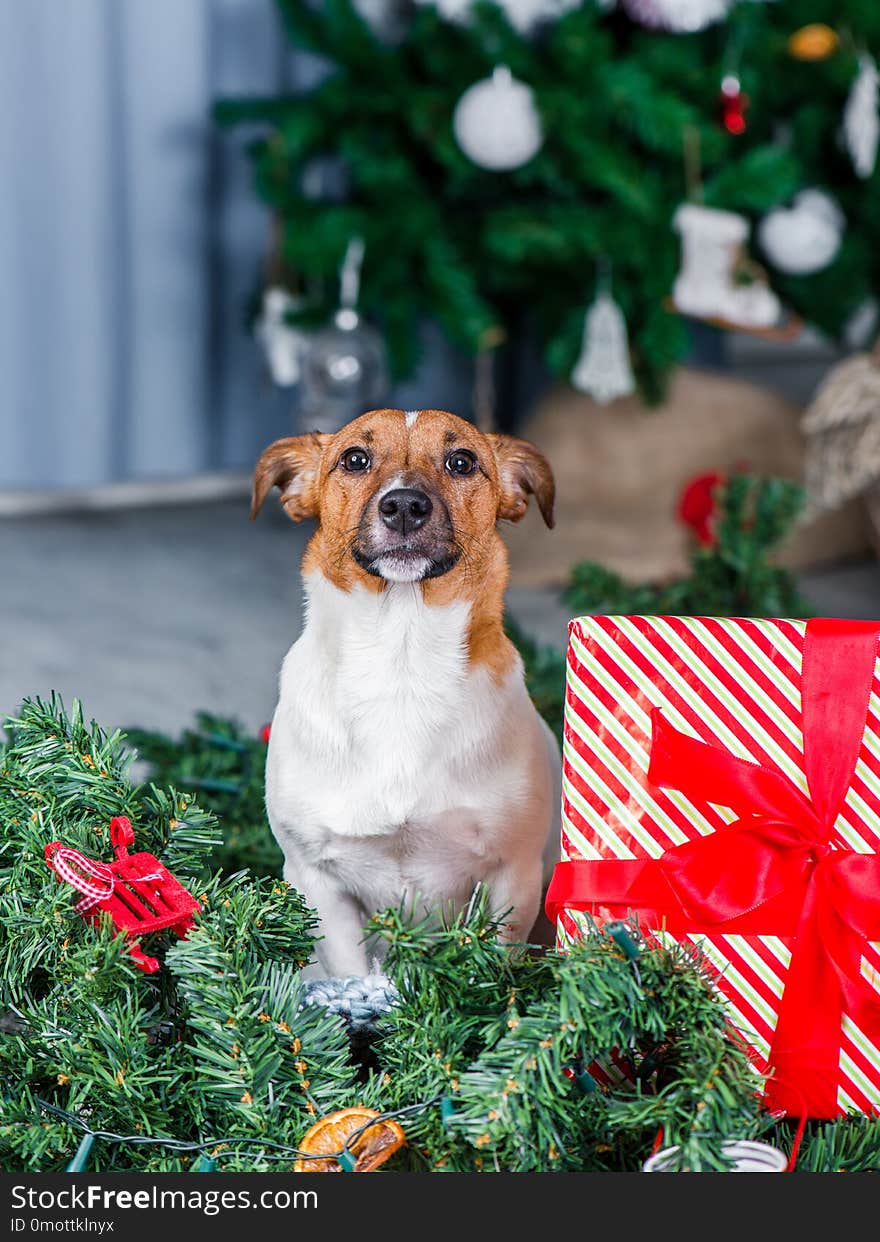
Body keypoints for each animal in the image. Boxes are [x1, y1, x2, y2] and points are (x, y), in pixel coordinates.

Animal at [250, 407, 558, 978]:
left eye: (462, 461)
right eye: (355, 459)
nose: (405, 507)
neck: (401, 659)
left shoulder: (513, 879)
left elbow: (486, 977)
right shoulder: (316, 881)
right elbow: (351, 977)